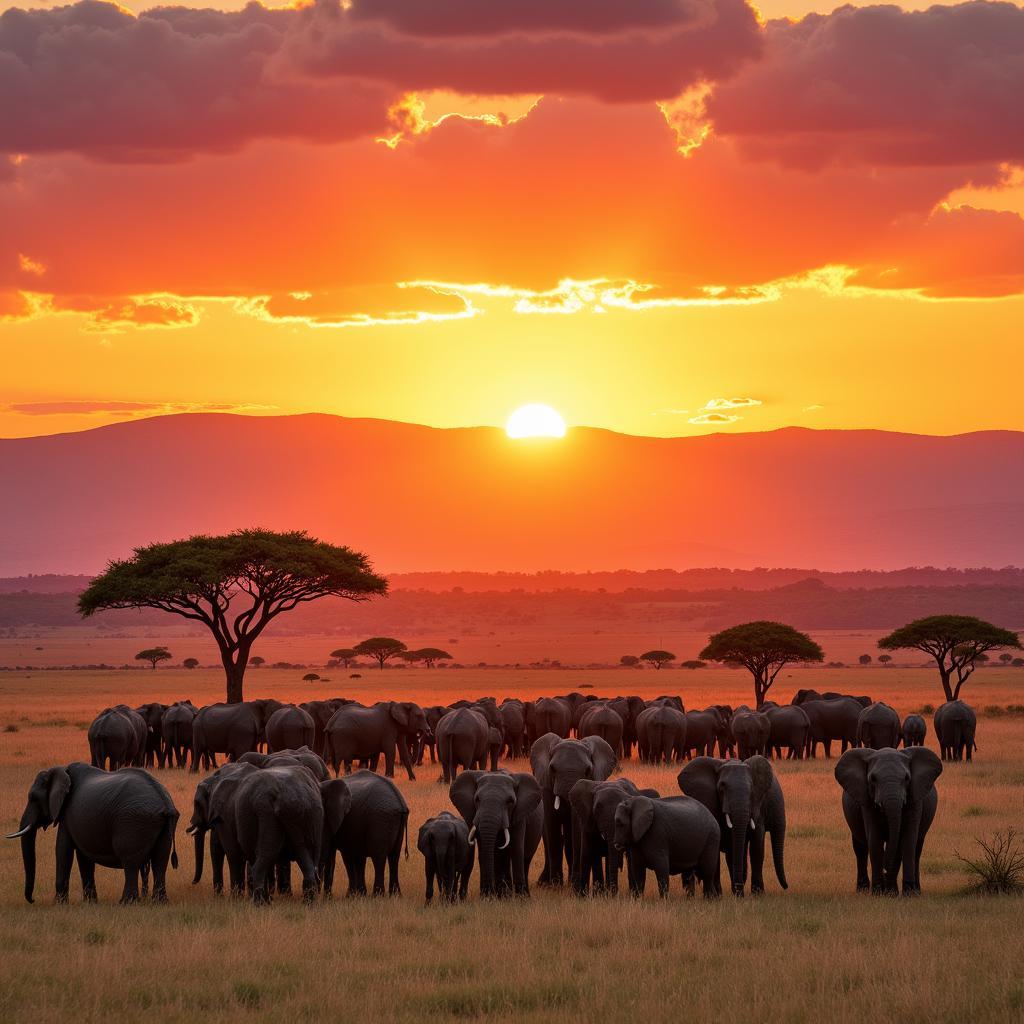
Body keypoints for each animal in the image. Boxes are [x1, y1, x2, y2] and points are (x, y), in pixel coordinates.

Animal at [7, 761, 180, 905]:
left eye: (33, 798)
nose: (32, 900)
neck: (61, 770)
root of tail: (165, 802)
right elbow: (83, 857)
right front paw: (90, 903)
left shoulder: (67, 813)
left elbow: (63, 850)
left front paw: (59, 905)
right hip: (161, 827)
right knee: (160, 860)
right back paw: (159, 902)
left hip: (133, 822)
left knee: (130, 861)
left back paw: (126, 903)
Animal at [528, 733, 614, 884]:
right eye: (552, 768)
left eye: (588, 771)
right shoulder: (547, 788)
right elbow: (553, 828)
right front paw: (556, 885)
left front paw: (571, 883)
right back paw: (544, 883)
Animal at [675, 757, 786, 892]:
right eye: (721, 788)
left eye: (751, 790)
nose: (786, 887)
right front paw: (719, 894)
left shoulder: (757, 807)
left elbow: (756, 847)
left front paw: (757, 893)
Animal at [835, 745, 937, 897]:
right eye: (872, 778)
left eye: (907, 778)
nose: (885, 869)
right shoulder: (867, 802)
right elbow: (875, 840)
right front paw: (878, 893)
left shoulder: (915, 798)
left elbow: (907, 840)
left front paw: (904, 894)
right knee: (860, 848)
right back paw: (863, 891)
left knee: (916, 849)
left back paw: (914, 891)